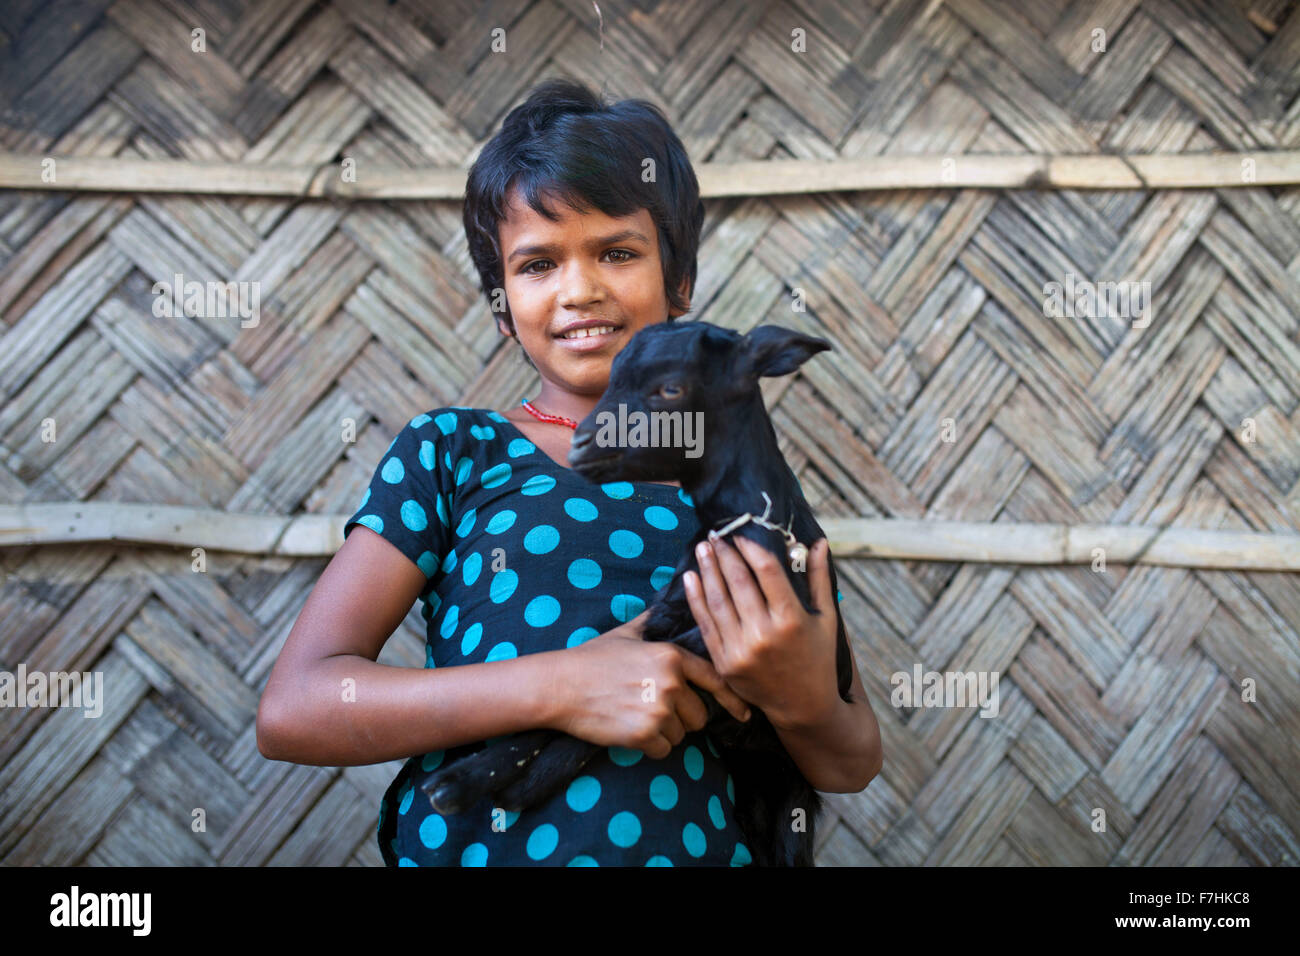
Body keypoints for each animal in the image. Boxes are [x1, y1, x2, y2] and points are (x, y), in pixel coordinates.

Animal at [421, 321, 857, 868]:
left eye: (670, 389)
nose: (582, 445)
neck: (736, 529)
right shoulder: (665, 619)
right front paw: (470, 779)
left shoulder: (730, 651)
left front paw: (504, 786)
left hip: (791, 813)